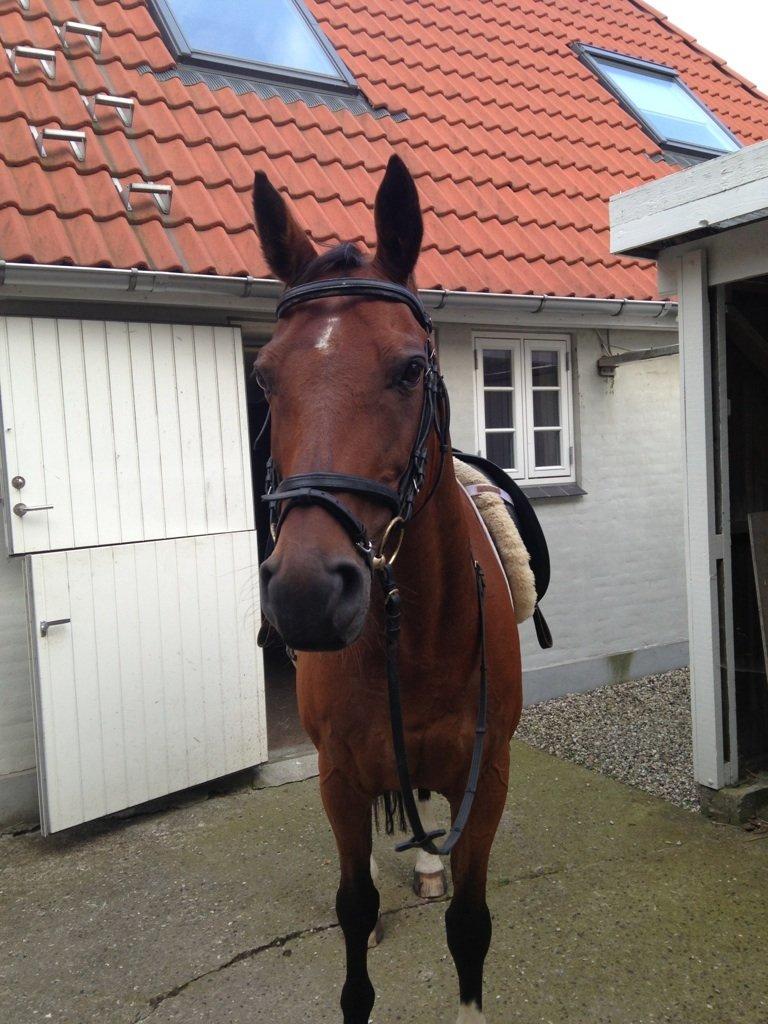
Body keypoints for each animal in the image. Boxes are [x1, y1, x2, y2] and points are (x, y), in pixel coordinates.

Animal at [253, 154, 523, 1024]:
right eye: (264, 377)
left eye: (410, 368)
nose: (307, 593)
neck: (417, 635)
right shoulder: (338, 776)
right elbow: (353, 908)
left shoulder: (489, 774)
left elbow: (471, 925)